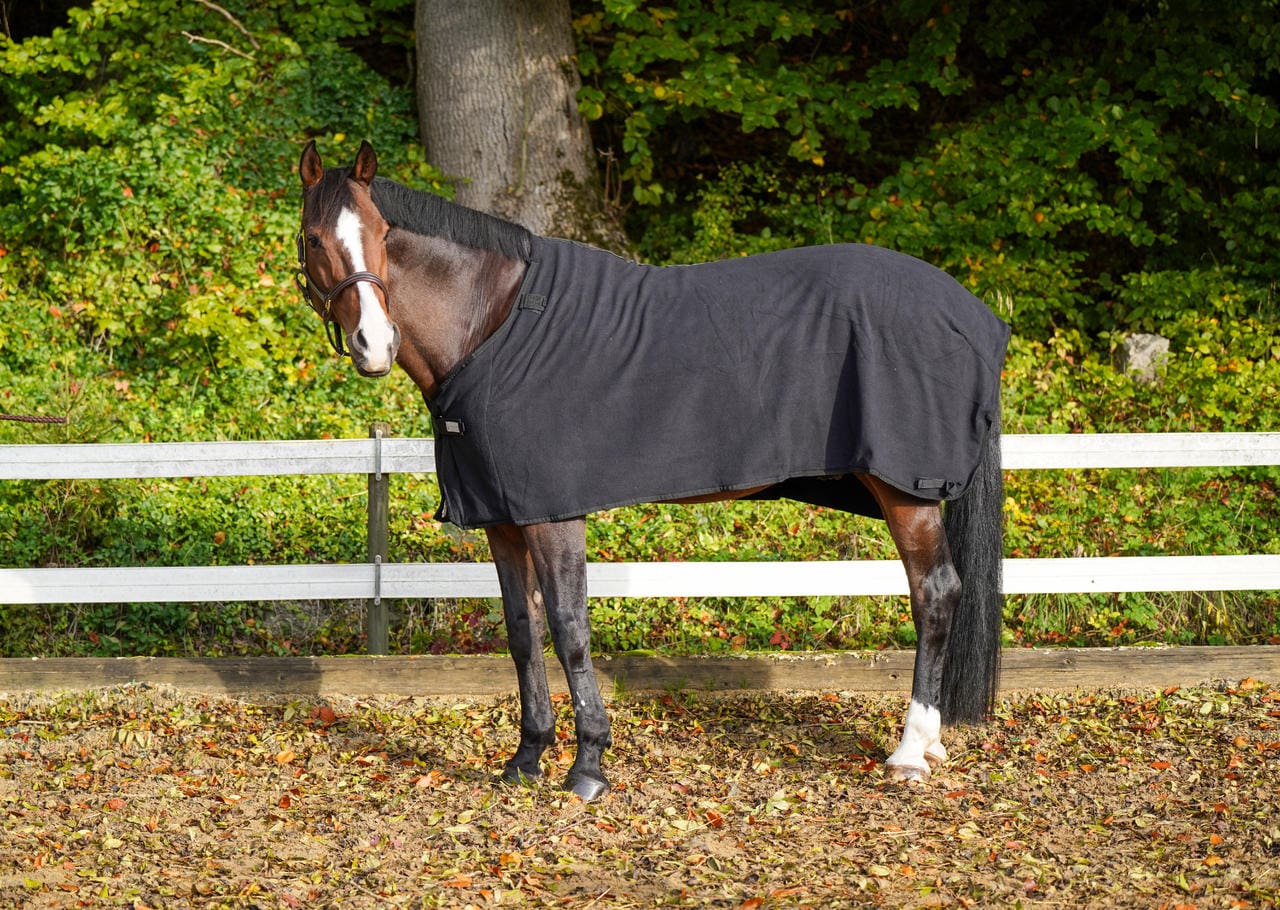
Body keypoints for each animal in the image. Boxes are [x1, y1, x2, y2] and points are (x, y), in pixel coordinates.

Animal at [294, 140, 1009, 800]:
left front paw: (587, 767)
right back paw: (930, 743)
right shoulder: (502, 516)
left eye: (383, 234)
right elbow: (523, 632)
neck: (493, 323)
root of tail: (975, 316)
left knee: (934, 592)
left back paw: (911, 751)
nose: (375, 345)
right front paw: (526, 758)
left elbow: (570, 628)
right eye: (314, 238)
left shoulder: (554, 514)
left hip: (906, 491)